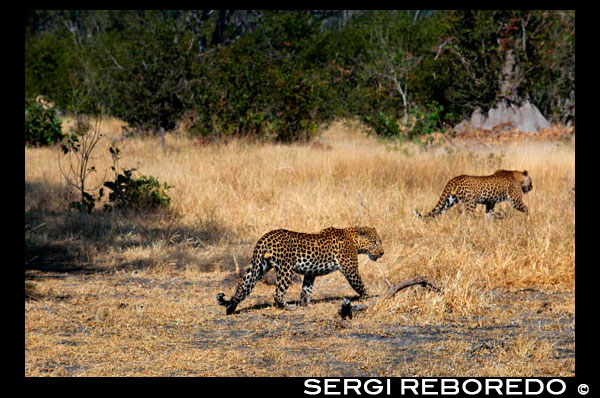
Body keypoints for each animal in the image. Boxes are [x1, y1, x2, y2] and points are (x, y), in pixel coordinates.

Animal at [217, 227, 384, 314]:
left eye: (379, 241)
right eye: (374, 242)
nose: (382, 252)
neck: (354, 241)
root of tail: (266, 236)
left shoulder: (310, 273)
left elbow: (306, 289)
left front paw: (306, 304)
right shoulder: (351, 270)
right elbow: (361, 286)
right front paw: (371, 297)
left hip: (259, 266)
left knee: (242, 286)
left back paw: (231, 307)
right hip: (286, 269)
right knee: (277, 293)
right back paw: (288, 307)